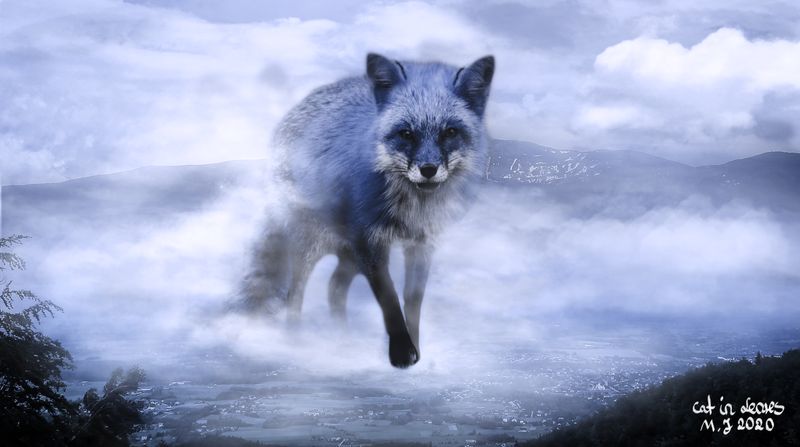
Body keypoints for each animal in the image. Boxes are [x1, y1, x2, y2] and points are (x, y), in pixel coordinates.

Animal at [242, 53, 495, 368]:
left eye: (450, 132)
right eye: (406, 134)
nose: (428, 170)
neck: (411, 209)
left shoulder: (421, 244)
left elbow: (413, 300)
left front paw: (415, 348)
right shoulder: (370, 242)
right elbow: (389, 300)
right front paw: (401, 353)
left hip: (349, 255)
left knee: (334, 288)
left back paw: (343, 339)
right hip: (313, 243)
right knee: (295, 292)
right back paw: (296, 340)